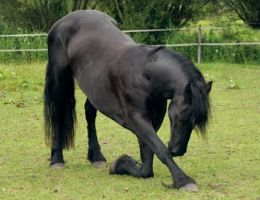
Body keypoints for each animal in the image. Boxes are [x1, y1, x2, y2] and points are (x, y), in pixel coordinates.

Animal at [44, 10, 211, 191]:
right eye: (181, 117)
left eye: (196, 122)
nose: (177, 151)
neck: (145, 75)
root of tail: (64, 20)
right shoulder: (137, 119)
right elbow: (159, 149)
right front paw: (183, 180)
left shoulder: (153, 120)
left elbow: (147, 161)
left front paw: (120, 164)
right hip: (60, 80)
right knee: (58, 114)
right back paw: (57, 159)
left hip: (93, 88)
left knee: (90, 113)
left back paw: (96, 156)